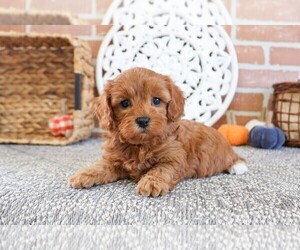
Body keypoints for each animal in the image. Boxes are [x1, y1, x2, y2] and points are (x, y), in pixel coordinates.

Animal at [68, 67, 248, 196]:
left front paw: (151, 183)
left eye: (156, 100)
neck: (140, 145)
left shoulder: (174, 159)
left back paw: (237, 166)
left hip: (225, 155)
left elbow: (161, 170)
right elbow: (101, 166)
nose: (143, 120)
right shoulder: (114, 159)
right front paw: (84, 174)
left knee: (236, 158)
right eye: (125, 103)